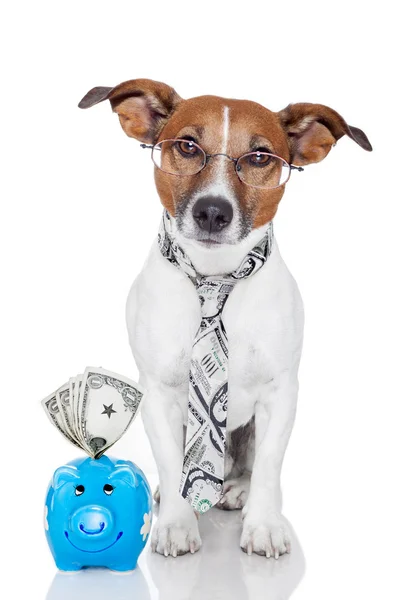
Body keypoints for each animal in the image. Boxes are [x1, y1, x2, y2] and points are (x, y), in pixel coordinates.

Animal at [78, 79, 372, 556]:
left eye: (259, 157)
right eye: (187, 145)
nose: (213, 211)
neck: (214, 280)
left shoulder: (280, 393)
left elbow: (269, 465)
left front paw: (264, 525)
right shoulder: (158, 394)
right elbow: (170, 460)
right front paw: (176, 522)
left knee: (249, 467)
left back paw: (237, 490)